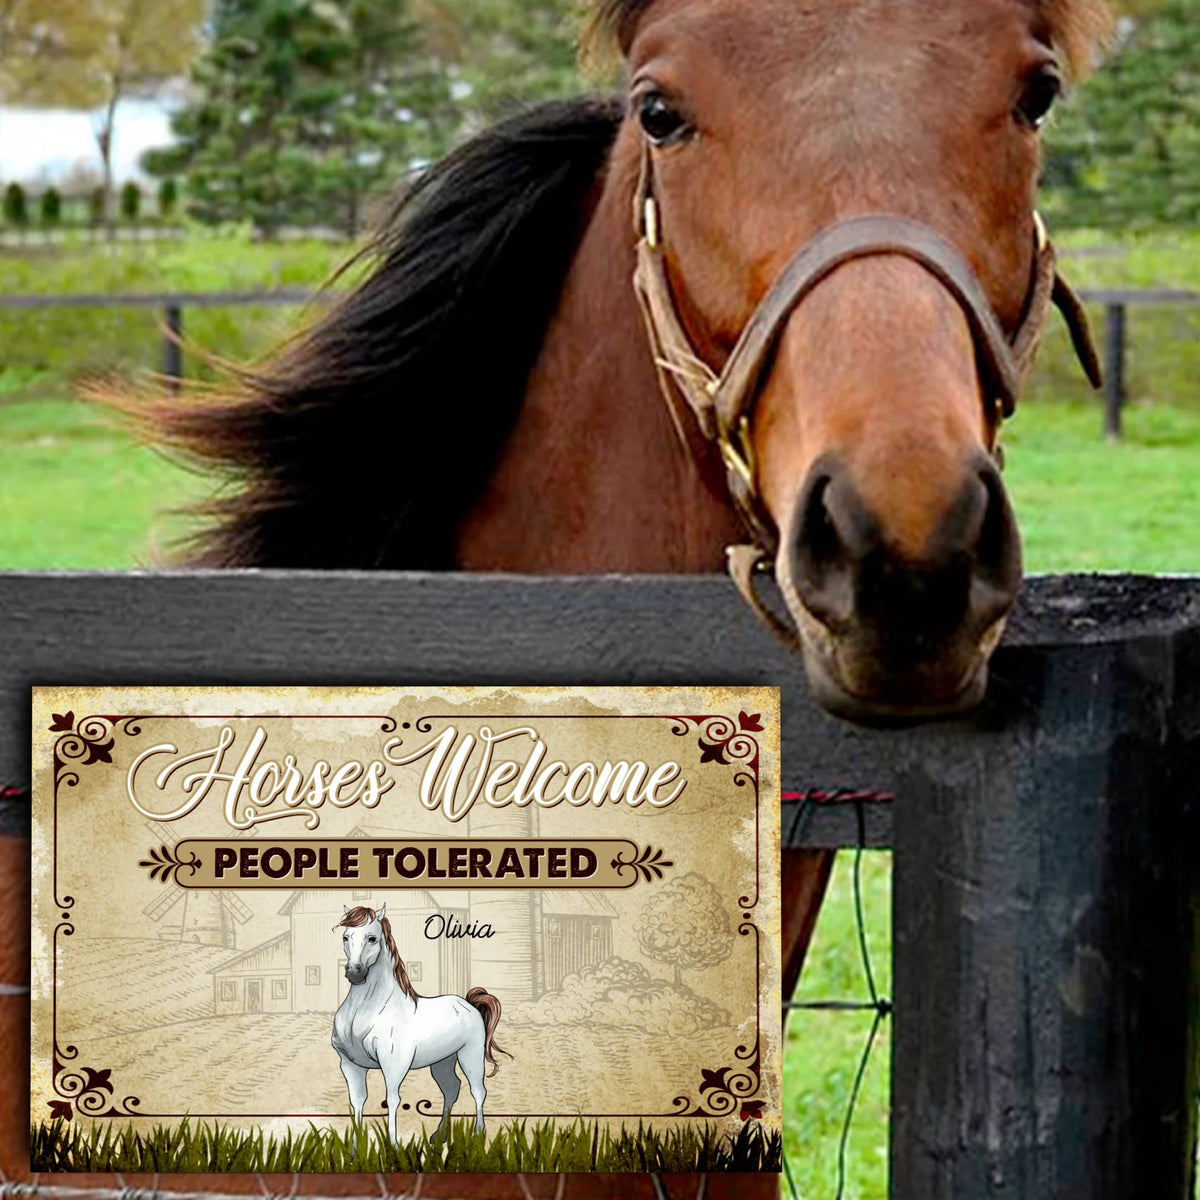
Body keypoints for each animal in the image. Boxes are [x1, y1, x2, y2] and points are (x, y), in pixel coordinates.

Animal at [331, 904, 508, 1146]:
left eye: (372, 938)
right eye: (345, 936)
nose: (354, 972)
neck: (366, 1012)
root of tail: (469, 1004)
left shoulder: (393, 1065)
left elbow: (392, 1100)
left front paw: (393, 1146)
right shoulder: (350, 1064)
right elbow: (358, 1101)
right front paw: (355, 1149)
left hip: (470, 1056)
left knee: (478, 1091)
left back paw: (478, 1136)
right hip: (442, 1061)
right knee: (451, 1089)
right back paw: (439, 1136)